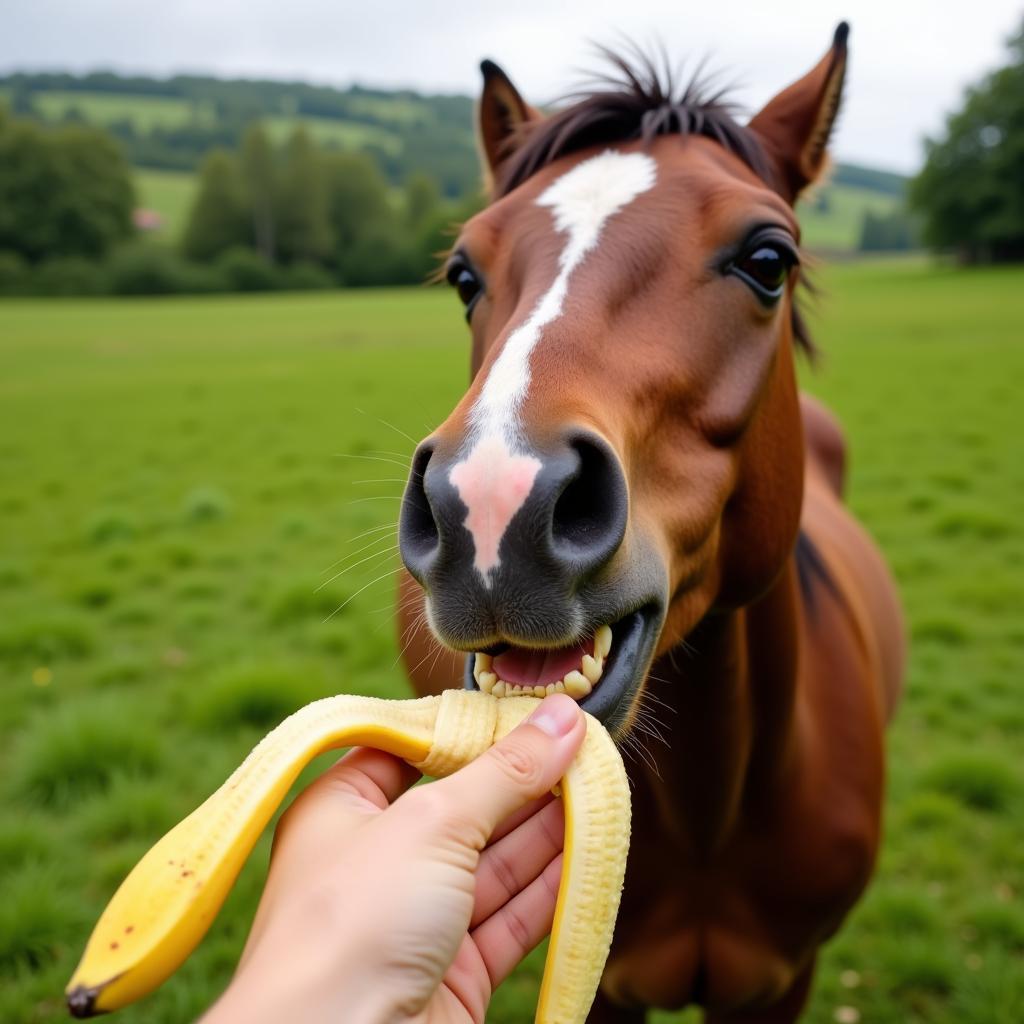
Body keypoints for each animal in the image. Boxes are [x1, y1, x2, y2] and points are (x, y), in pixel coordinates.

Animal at [391, 22, 905, 1015]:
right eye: (466, 275)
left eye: (769, 260)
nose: (492, 503)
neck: (713, 818)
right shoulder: (612, 984)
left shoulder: (785, 979)